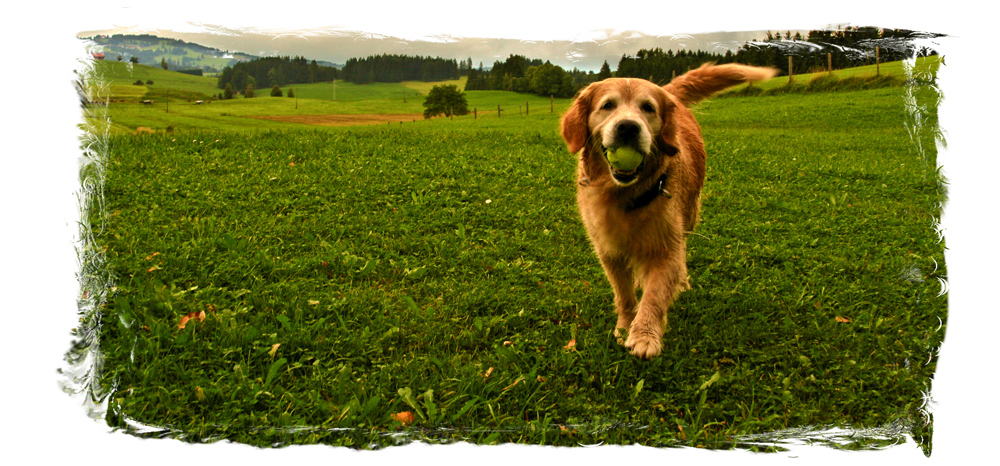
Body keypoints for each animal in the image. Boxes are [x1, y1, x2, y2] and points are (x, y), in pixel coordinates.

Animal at [560, 63, 776, 358]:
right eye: (607, 105)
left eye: (648, 108)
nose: (628, 127)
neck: (625, 194)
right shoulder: (608, 250)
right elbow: (624, 293)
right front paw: (625, 325)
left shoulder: (666, 246)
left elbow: (655, 294)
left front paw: (644, 335)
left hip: (690, 214)